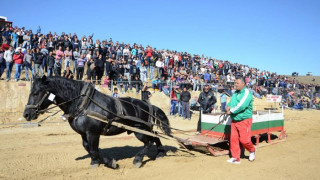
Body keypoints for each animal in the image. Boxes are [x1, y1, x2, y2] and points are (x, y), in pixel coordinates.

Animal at [23, 76, 172, 169]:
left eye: (36, 93)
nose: (26, 114)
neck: (82, 103)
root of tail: (147, 105)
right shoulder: (84, 134)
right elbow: (88, 148)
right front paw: (97, 161)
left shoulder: (92, 132)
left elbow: (94, 149)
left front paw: (110, 163)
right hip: (144, 129)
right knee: (155, 137)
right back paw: (160, 153)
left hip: (139, 130)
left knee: (149, 142)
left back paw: (138, 159)